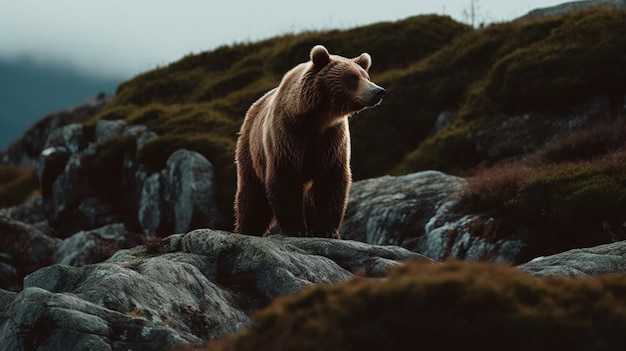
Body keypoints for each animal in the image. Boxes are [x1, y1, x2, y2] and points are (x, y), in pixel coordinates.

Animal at [233, 45, 382, 239]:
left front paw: (327, 230)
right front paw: (297, 228)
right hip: (250, 150)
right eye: (352, 77)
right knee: (253, 194)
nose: (378, 91)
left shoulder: (331, 140)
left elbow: (331, 180)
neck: (316, 118)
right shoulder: (288, 134)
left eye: (366, 76)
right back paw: (248, 229)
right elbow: (285, 178)